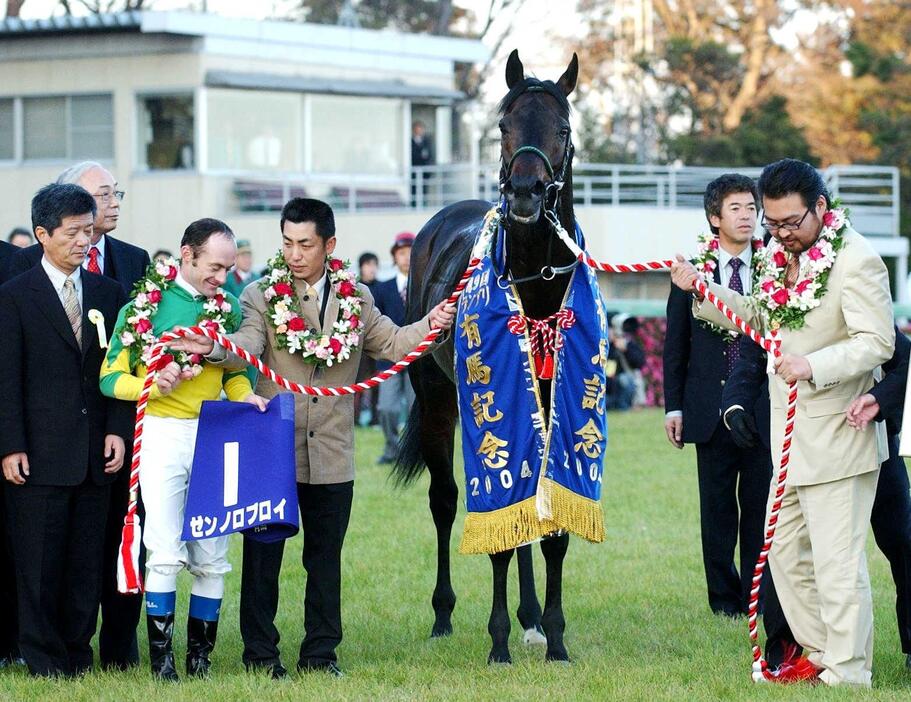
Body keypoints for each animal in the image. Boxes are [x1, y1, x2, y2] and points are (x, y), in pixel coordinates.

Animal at [394, 51, 584, 664]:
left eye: (563, 128)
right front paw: (498, 639)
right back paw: (444, 615)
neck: (537, 284)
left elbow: (548, 522)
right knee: (444, 500)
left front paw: (554, 635)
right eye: (504, 126)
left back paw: (530, 617)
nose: (525, 192)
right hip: (437, 397)